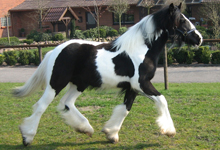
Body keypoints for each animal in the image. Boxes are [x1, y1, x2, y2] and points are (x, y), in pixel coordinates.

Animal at [13, 3, 203, 146]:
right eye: (181, 20)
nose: (199, 38)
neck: (142, 50)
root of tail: (56, 50)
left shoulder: (132, 88)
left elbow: (125, 109)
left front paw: (111, 134)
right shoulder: (142, 84)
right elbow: (162, 100)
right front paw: (169, 131)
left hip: (79, 84)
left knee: (66, 103)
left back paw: (85, 128)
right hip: (57, 83)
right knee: (41, 106)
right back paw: (27, 136)